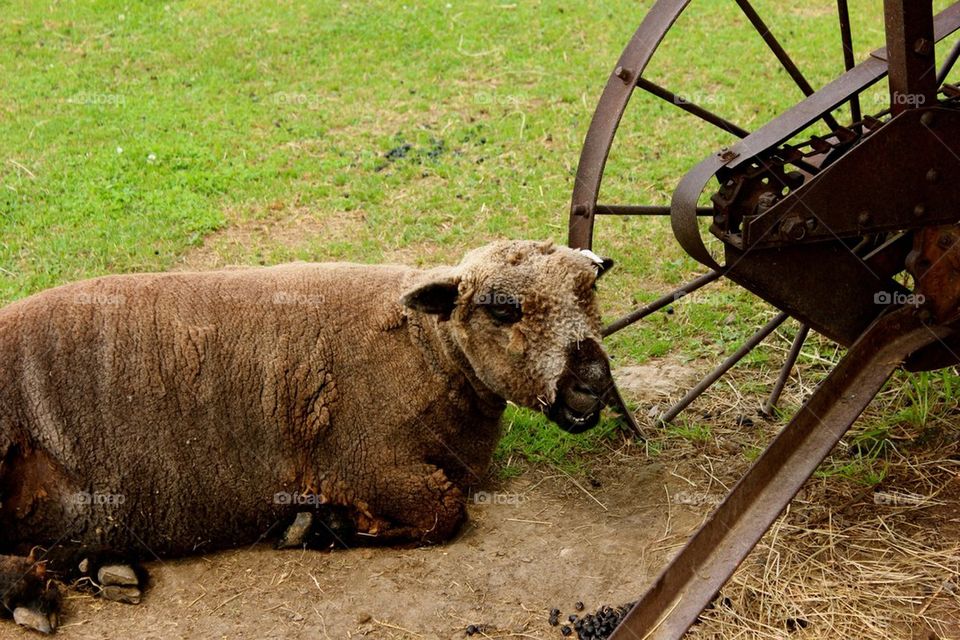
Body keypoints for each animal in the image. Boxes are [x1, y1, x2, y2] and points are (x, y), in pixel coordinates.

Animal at [0, 239, 615, 632]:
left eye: (589, 290)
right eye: (502, 309)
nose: (593, 382)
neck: (429, 351)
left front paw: (320, 524)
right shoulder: (365, 463)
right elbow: (445, 513)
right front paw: (325, 527)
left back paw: (100, 568)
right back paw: (33, 594)